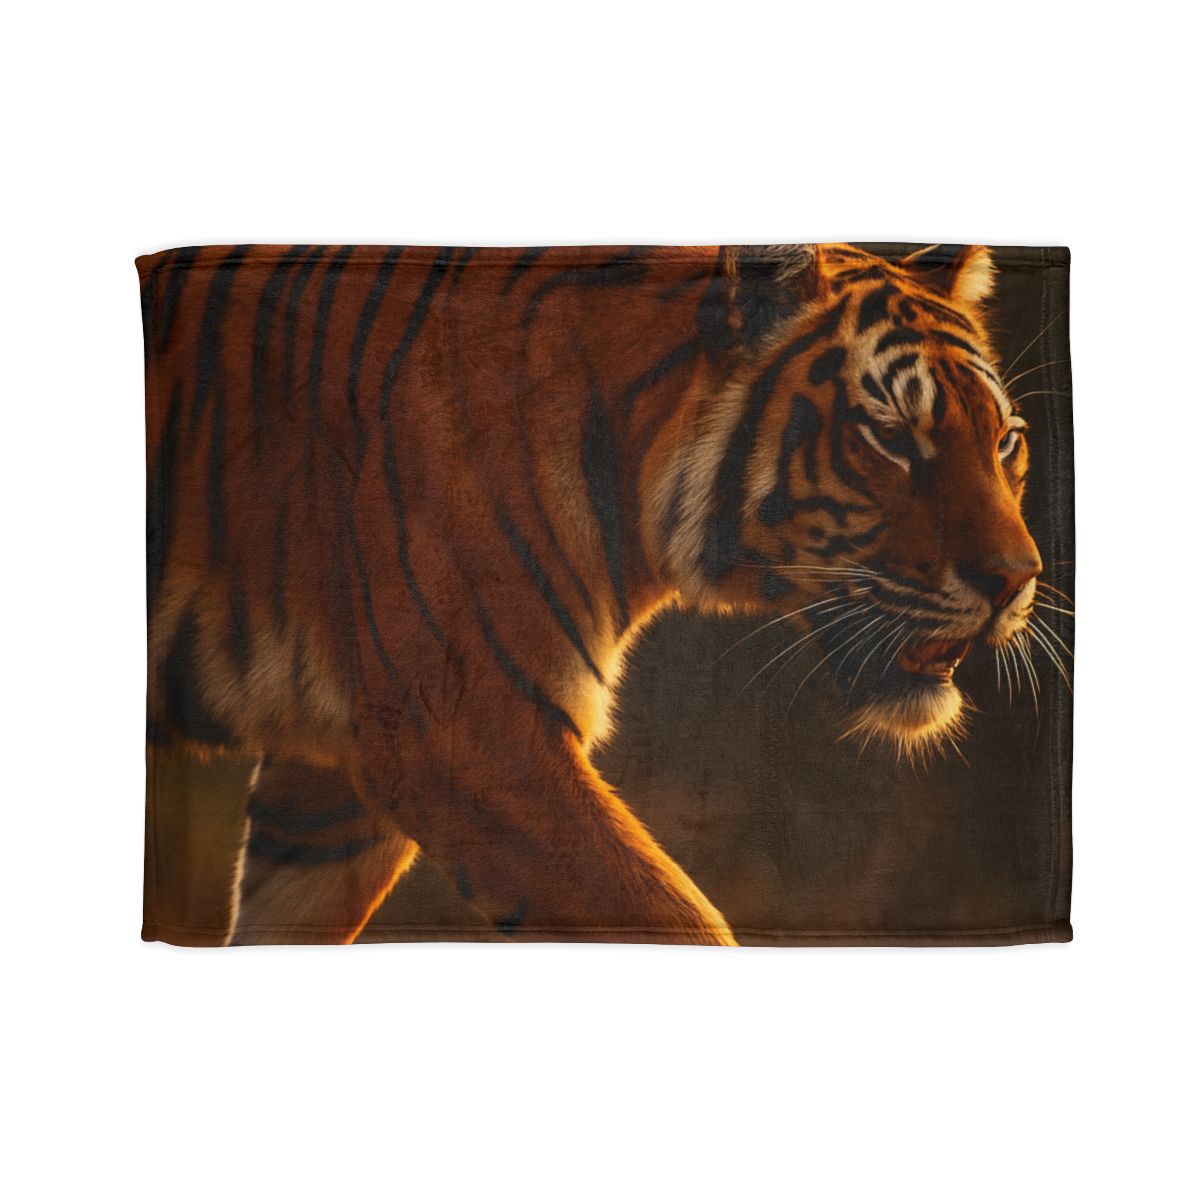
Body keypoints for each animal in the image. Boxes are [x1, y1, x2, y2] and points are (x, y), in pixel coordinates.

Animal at [139, 242, 1043, 947]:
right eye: (889, 437)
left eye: (1005, 441)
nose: (1016, 579)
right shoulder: (465, 733)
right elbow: (676, 916)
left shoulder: (331, 786)